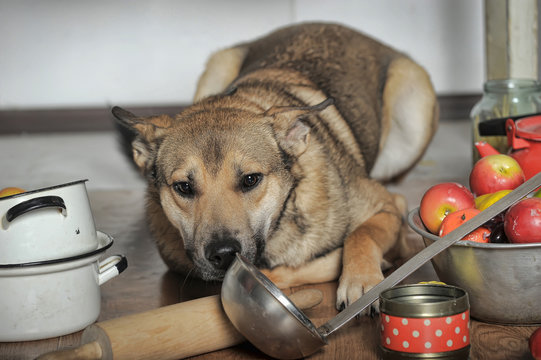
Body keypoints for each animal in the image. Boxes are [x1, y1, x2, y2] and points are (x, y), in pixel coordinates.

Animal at [112, 22, 436, 312]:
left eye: (250, 179)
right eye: (183, 187)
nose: (223, 255)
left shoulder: (385, 207)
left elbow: (361, 234)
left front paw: (361, 280)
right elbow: (273, 274)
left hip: (413, 118)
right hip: (216, 66)